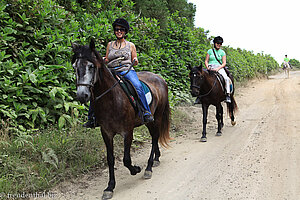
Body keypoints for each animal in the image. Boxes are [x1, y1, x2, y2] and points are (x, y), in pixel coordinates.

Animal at [71, 39, 170, 199]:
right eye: (75, 67)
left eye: (91, 66)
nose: (82, 95)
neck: (112, 99)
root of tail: (160, 78)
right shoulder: (106, 133)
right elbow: (110, 159)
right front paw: (109, 187)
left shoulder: (127, 132)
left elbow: (126, 159)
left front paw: (135, 169)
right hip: (149, 121)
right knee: (154, 137)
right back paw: (156, 158)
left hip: (157, 117)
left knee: (155, 136)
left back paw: (149, 167)